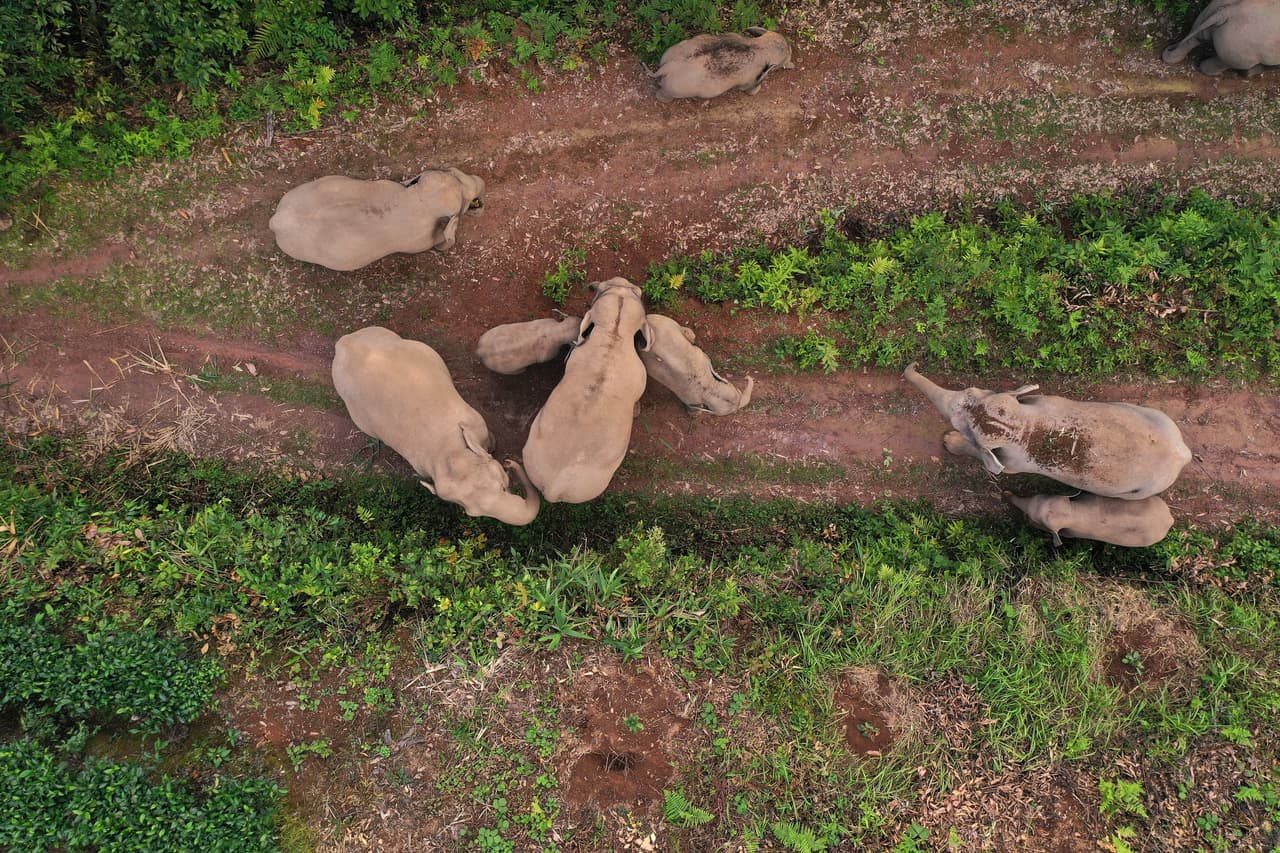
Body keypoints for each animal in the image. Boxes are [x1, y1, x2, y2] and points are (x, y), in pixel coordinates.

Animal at [332, 326, 540, 525]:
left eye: (503, 486)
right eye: (473, 514)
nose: (509, 463)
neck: (450, 451)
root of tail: (343, 341)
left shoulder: (473, 418)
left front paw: (493, 447)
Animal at [522, 278, 653, 503]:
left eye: (635, 291)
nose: (621, 281)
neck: (614, 333)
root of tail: (554, 488)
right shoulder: (640, 375)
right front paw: (637, 411)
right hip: (593, 486)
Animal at [650, 28, 794, 102]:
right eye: (783, 60)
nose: (791, 49)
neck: (761, 47)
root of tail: (667, 68)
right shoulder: (750, 81)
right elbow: (752, 90)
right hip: (673, 90)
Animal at [903, 363, 1192, 500]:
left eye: (957, 424)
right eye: (973, 389)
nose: (913, 364)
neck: (1022, 429)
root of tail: (1183, 455)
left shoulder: (1016, 462)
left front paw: (949, 442)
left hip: (1141, 490)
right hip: (1156, 416)